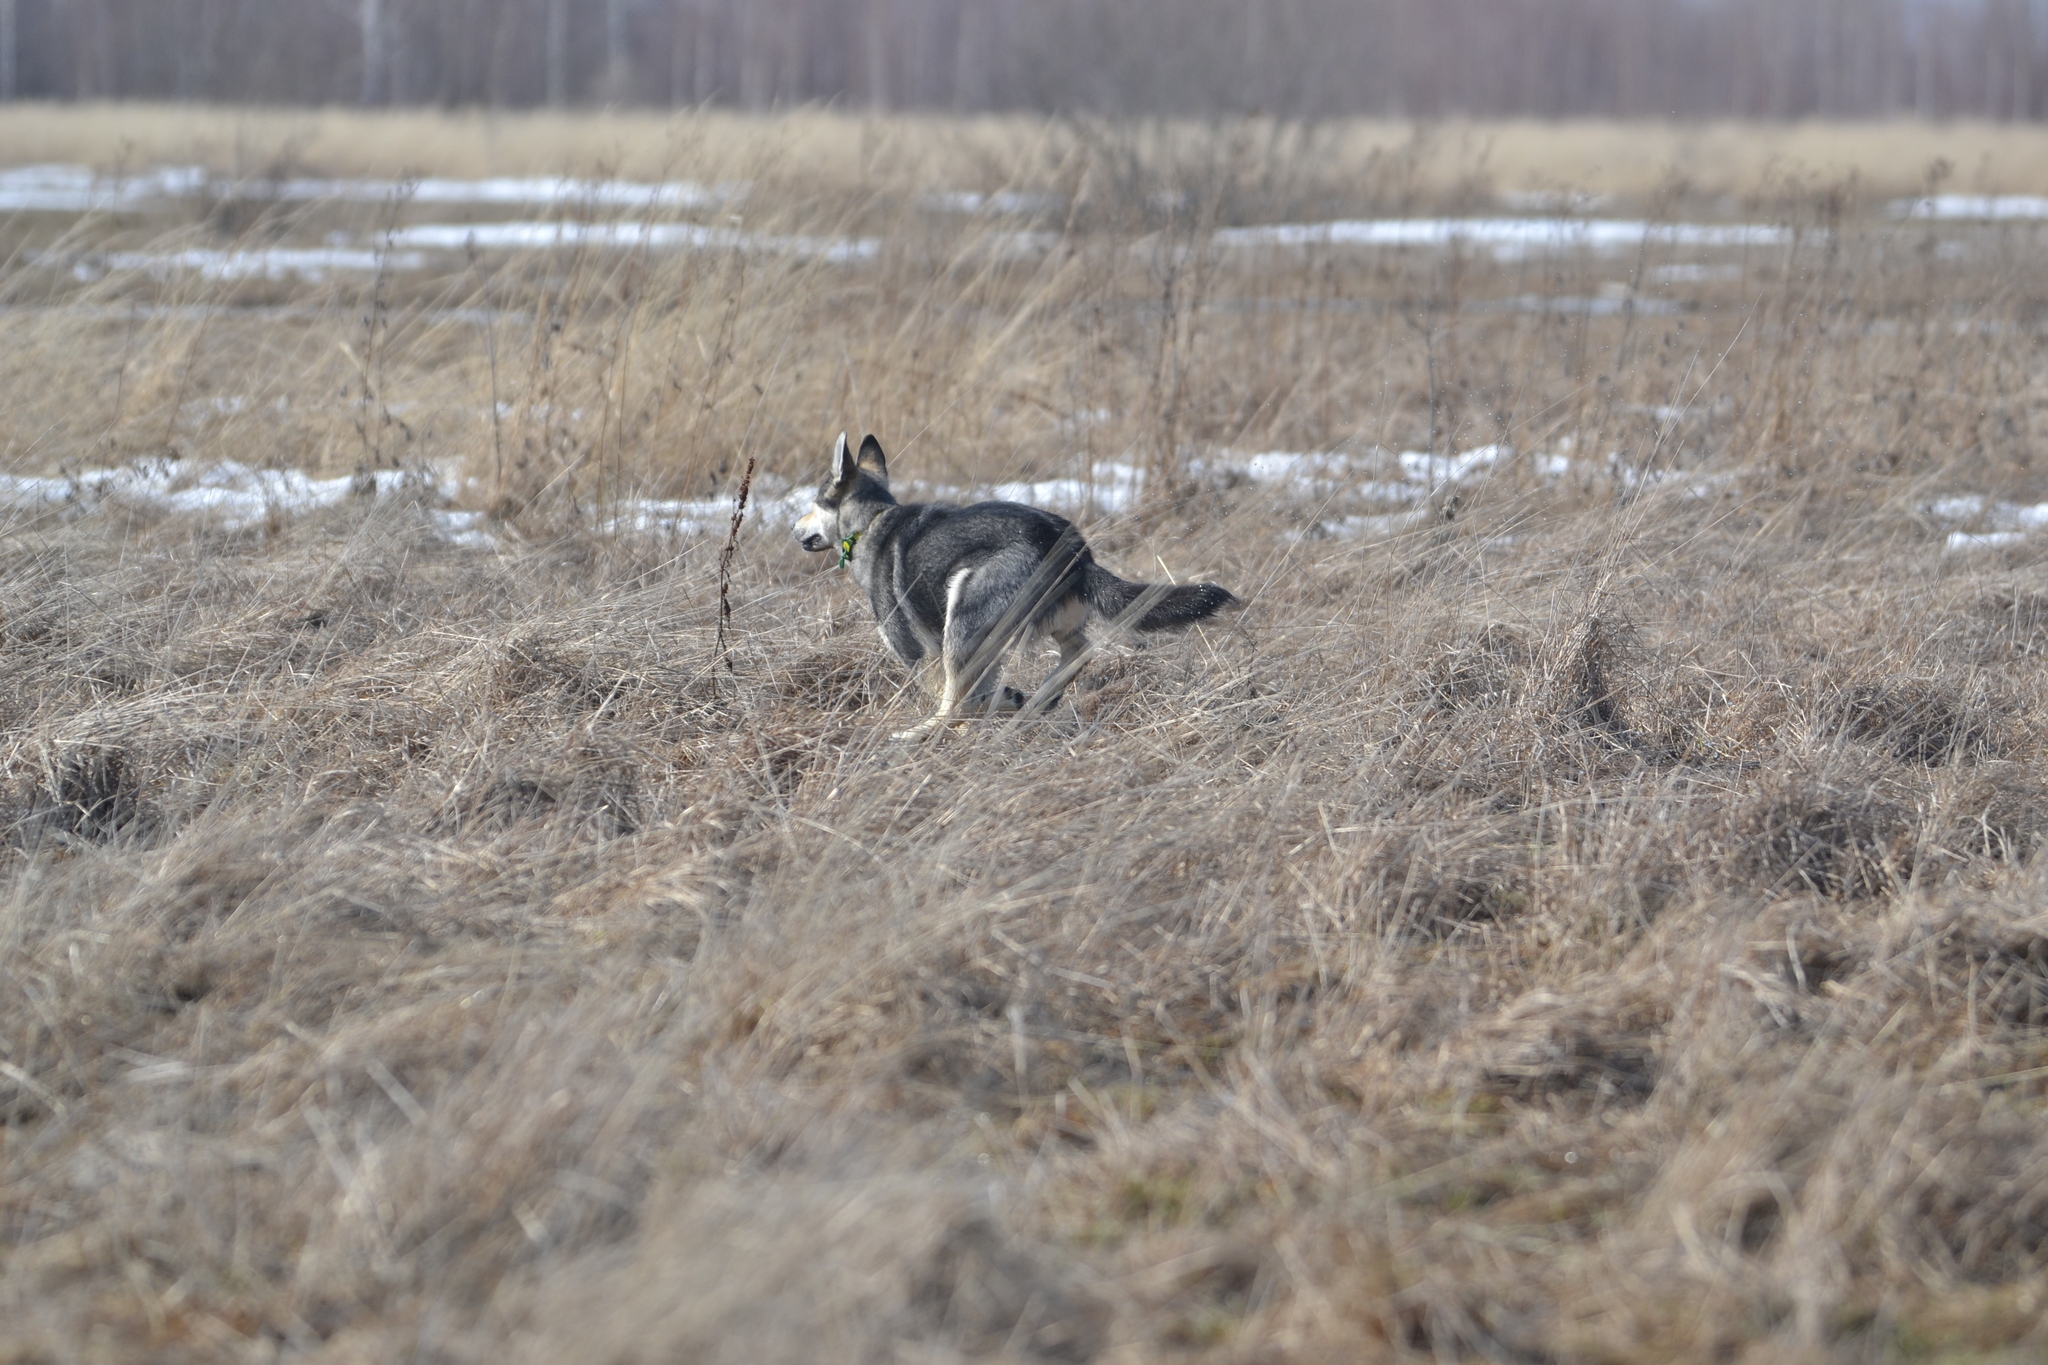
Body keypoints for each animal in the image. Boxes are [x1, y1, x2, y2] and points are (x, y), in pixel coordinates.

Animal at [790, 435, 1236, 736]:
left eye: (813, 503)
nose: (793, 526)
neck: (870, 523)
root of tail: (1071, 548)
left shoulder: (917, 653)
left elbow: (952, 697)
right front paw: (1004, 701)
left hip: (963, 617)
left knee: (957, 704)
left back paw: (923, 732)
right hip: (1049, 625)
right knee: (1078, 653)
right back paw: (1031, 702)